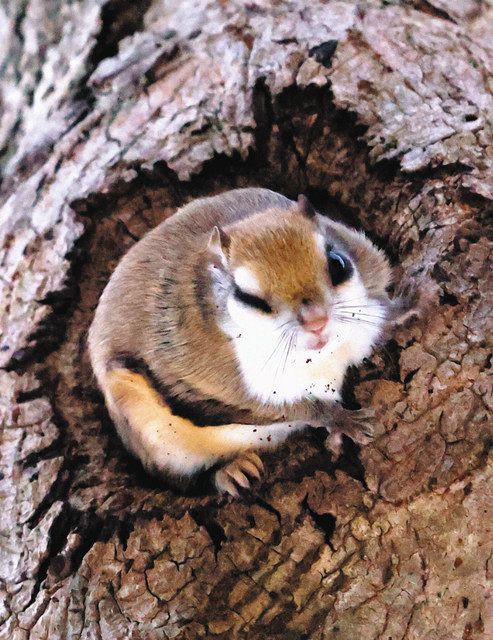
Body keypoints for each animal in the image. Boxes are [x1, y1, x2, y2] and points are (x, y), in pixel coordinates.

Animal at [89, 188, 430, 498]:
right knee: (181, 480)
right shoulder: (218, 391)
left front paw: (409, 304)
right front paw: (340, 421)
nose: (317, 321)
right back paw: (229, 472)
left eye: (337, 263)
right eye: (249, 298)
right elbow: (301, 409)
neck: (325, 355)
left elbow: (382, 312)